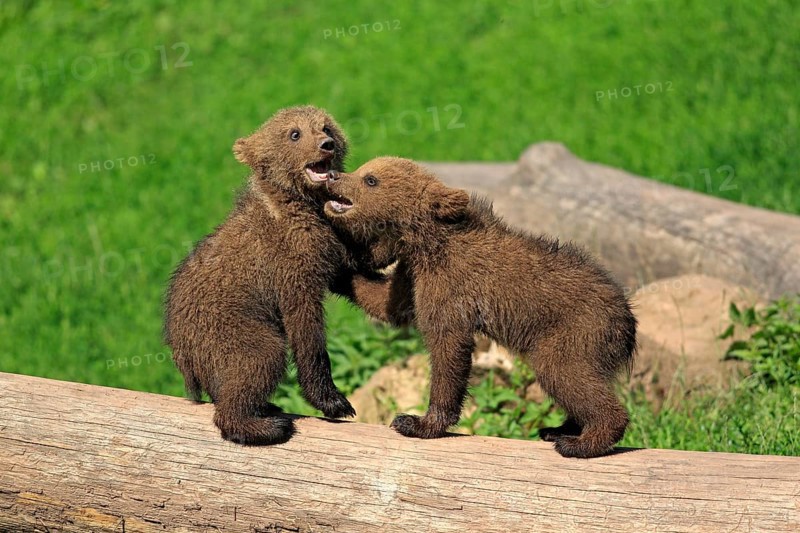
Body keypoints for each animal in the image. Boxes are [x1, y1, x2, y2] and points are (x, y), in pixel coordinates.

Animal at [164, 106, 389, 445]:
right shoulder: (289, 265)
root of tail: (182, 354)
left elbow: (352, 278)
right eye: (294, 133)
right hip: (229, 327)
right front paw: (334, 401)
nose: (325, 145)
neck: (302, 204)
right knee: (259, 358)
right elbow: (306, 328)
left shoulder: (325, 248)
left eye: (326, 127)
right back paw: (267, 425)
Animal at [322, 156, 637, 458]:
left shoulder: (449, 284)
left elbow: (447, 346)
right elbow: (388, 302)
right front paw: (336, 267)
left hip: (578, 330)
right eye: (364, 169)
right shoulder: (412, 272)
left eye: (370, 179)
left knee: (565, 374)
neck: (425, 241)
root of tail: (627, 319)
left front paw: (416, 422)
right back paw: (559, 429)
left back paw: (582, 443)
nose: (334, 176)